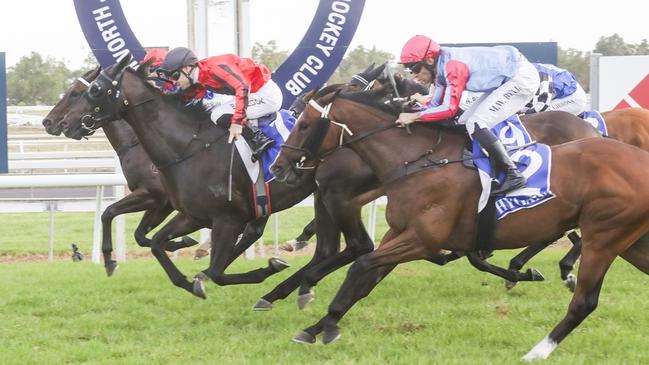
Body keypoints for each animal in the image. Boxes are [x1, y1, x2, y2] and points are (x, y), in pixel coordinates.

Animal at [272, 87, 649, 358]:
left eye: (304, 124)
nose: (277, 167)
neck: (418, 161)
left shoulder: (422, 239)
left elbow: (360, 265)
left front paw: (322, 320)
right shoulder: (400, 234)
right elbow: (365, 279)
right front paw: (319, 325)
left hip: (605, 235)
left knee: (584, 301)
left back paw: (536, 349)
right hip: (630, 242)